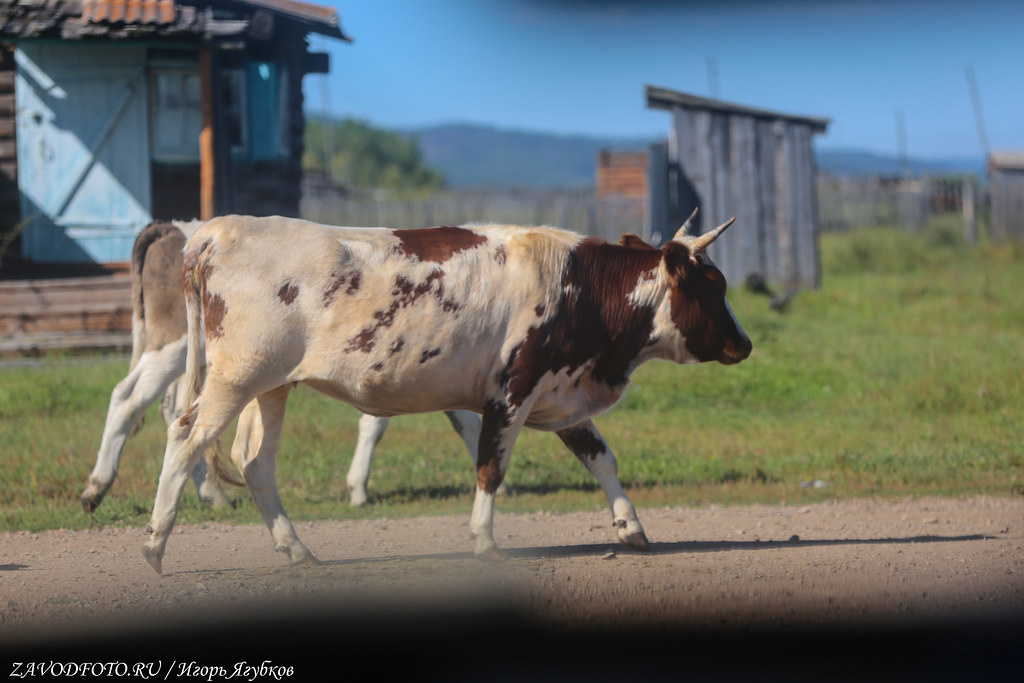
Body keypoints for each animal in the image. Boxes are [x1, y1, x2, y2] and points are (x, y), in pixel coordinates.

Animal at [80, 222, 479, 516]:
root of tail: (168, 228)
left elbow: (459, 417)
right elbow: (383, 423)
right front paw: (359, 489)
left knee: (176, 408)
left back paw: (212, 494)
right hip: (175, 345)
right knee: (130, 398)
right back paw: (97, 487)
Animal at [142, 208, 753, 573]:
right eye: (713, 284)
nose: (744, 344)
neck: (580, 286)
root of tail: (215, 230)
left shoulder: (559, 390)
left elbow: (600, 456)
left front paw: (631, 526)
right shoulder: (513, 390)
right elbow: (490, 468)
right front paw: (484, 540)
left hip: (271, 386)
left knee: (255, 461)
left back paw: (295, 549)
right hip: (234, 379)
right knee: (186, 438)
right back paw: (153, 545)